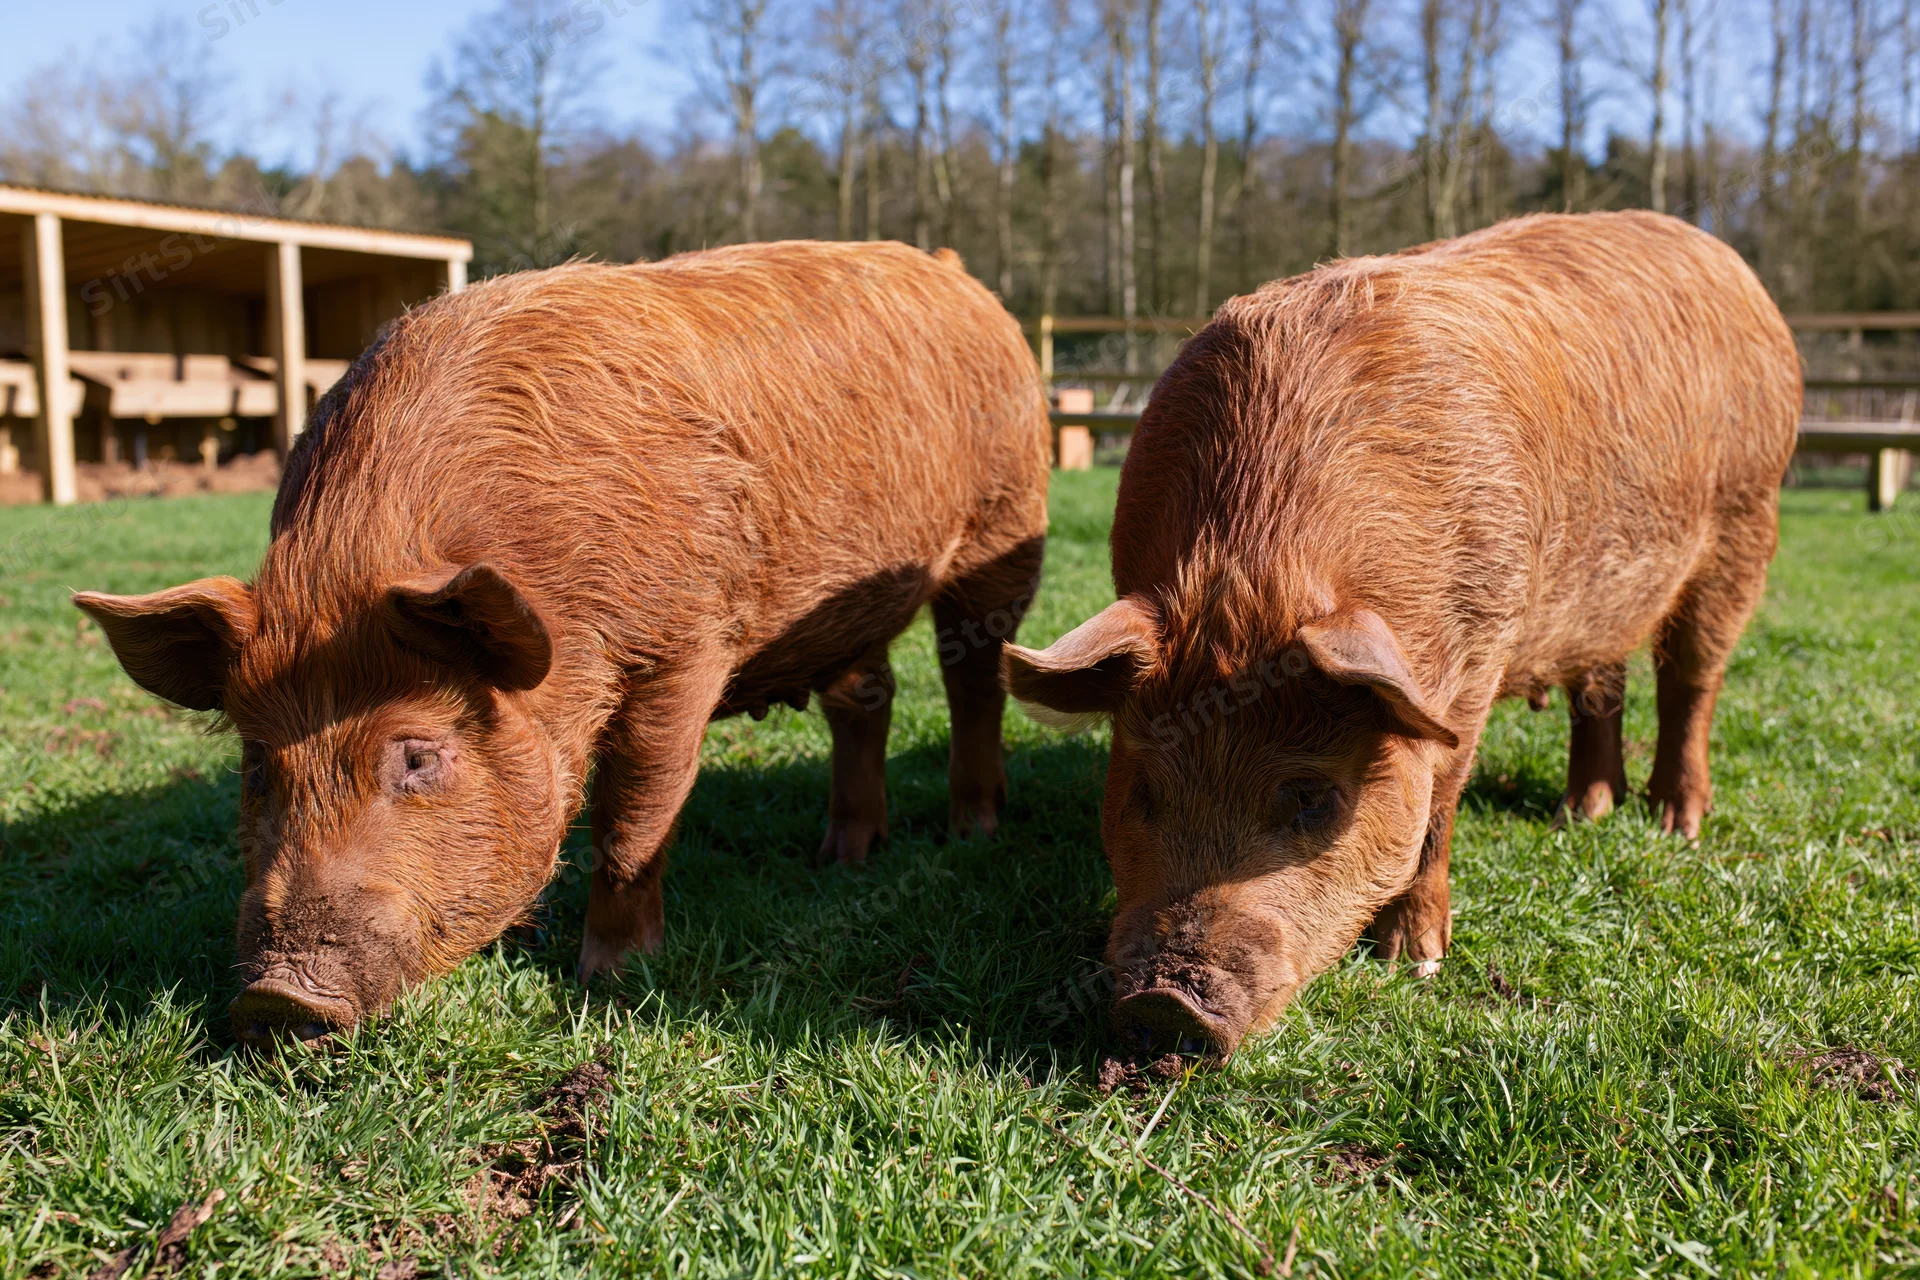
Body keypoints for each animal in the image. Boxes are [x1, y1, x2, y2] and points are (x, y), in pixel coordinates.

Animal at [74, 241, 1050, 1044]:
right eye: (255, 768)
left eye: (418, 758)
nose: (274, 998)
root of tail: (961, 277)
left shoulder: (685, 646)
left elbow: (635, 812)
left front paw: (610, 979)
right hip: (846, 606)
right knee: (866, 701)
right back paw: (842, 857)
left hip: (1006, 523)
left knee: (974, 681)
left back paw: (971, 833)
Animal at [1004, 212, 1800, 1061]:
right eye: (1143, 789)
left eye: (1313, 798)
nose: (1165, 1002)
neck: (1258, 564)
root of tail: (1731, 266)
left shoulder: (1480, 654)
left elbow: (1439, 806)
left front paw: (1411, 963)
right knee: (1601, 684)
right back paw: (1581, 813)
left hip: (1746, 521)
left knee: (1693, 681)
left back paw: (1677, 826)